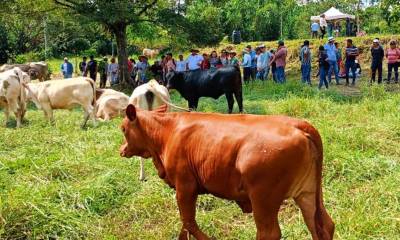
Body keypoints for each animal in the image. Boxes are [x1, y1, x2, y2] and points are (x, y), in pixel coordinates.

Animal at [119, 106, 334, 240]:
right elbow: (185, 226)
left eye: (123, 129)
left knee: (269, 233)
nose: (121, 150)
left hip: (264, 200)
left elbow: (188, 221)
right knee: (322, 225)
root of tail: (298, 125)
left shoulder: (185, 186)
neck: (167, 131)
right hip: (308, 193)